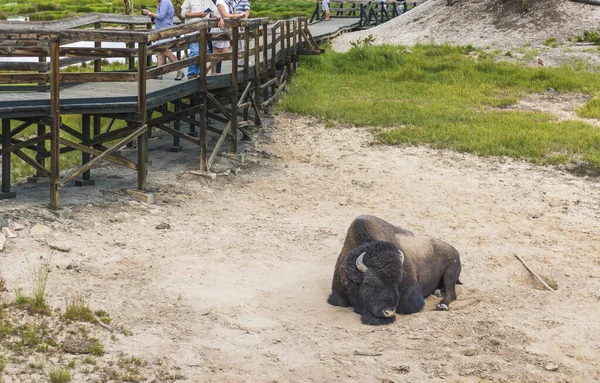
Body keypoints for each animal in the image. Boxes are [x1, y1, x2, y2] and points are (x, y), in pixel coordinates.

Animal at [330, 214, 462, 326]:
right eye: (369, 284)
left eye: (397, 283)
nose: (388, 312)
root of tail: (453, 249)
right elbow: (341, 301)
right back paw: (438, 292)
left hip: (450, 271)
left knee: (452, 293)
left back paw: (442, 305)